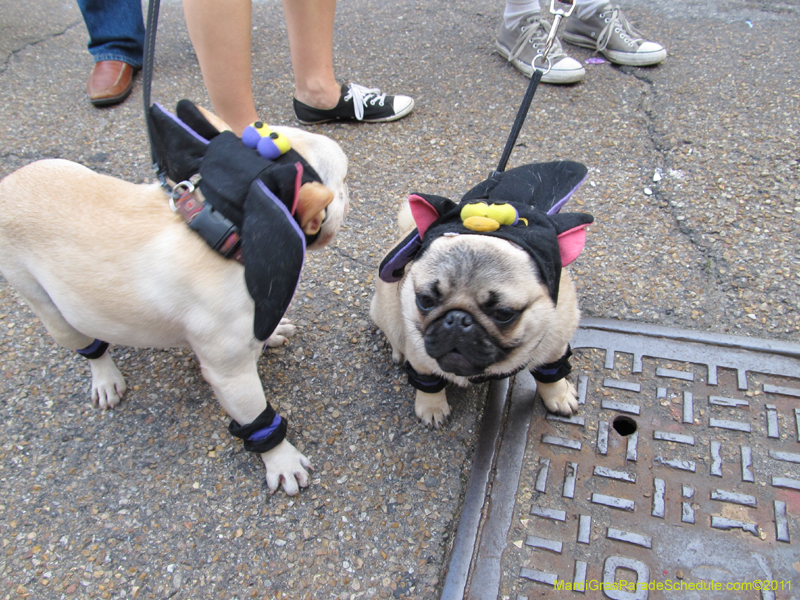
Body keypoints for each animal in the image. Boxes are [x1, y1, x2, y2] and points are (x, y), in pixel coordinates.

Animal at [0, 102, 350, 496]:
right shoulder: (231, 375)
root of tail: (9, 182)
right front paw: (281, 460)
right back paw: (104, 376)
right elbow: (256, 416)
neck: (231, 227)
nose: (349, 191)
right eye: (343, 183)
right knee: (85, 344)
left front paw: (271, 334)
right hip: (49, 308)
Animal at [372, 162, 592, 428]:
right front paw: (432, 407)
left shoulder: (554, 347)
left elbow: (551, 374)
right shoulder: (420, 358)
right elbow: (429, 384)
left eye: (504, 314)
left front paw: (558, 395)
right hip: (389, 314)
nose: (458, 319)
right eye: (425, 301)